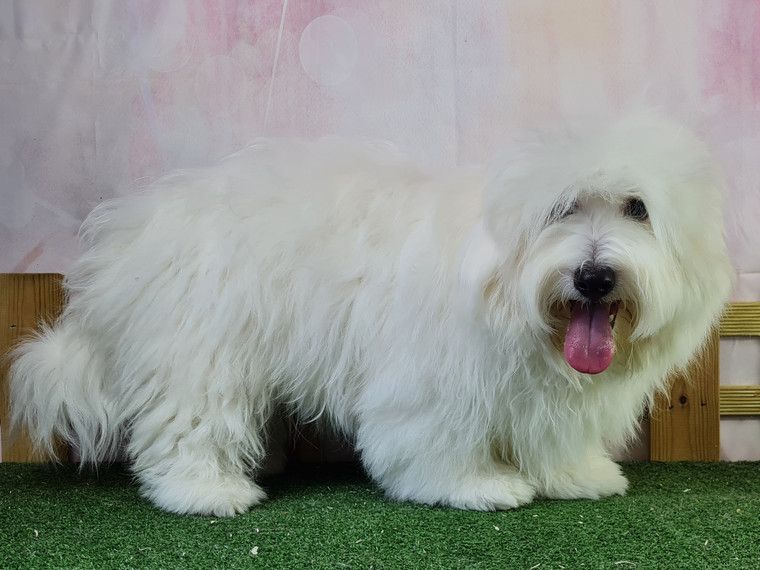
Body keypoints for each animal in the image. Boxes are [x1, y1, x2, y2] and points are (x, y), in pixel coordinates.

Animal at [10, 112, 733, 516]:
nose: (592, 276)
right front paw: (473, 486)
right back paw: (207, 493)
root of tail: (130, 231)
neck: (505, 286)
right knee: (183, 428)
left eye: (638, 208)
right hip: (200, 350)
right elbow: (437, 441)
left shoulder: (550, 397)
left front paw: (579, 476)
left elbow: (556, 438)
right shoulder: (435, 382)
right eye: (563, 208)